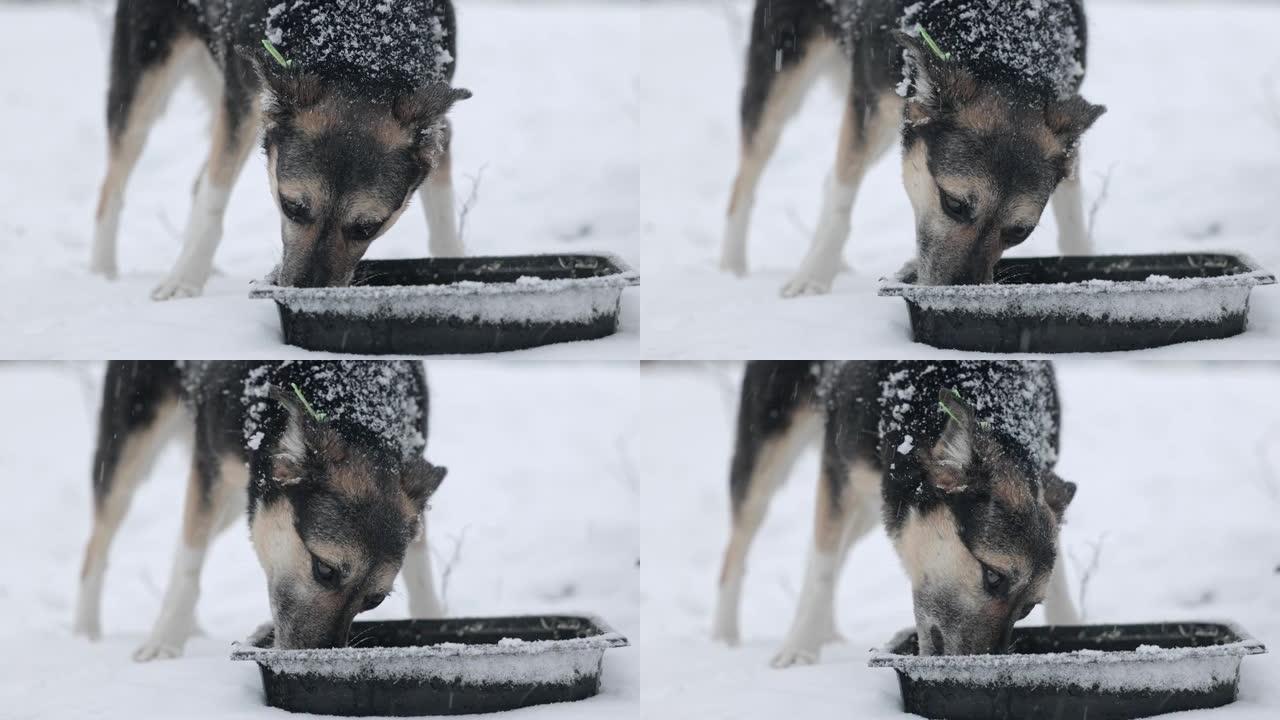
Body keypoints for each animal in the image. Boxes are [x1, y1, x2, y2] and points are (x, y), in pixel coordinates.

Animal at [72, 361, 450, 661]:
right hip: (132, 442)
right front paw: (164, 642)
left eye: (375, 600)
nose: (321, 656)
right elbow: (189, 562)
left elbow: (421, 576)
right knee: (97, 545)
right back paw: (85, 634)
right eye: (325, 570)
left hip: (238, 502)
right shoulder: (209, 468)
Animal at [91, 0, 471, 295]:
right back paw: (102, 274)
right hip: (145, 77)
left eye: (367, 227)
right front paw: (183, 280)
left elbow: (442, 221)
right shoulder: (242, 104)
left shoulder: (438, 128)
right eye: (292, 207)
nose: (305, 291)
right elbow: (214, 198)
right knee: (113, 187)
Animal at [711, 361, 1080, 666]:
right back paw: (724, 638)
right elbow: (822, 569)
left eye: (1029, 607)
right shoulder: (837, 472)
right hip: (768, 453)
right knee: (737, 551)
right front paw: (799, 650)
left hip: (870, 506)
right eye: (993, 576)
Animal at [727, 0, 1105, 294]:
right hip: (783, 70)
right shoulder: (867, 106)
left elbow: (1072, 215)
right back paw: (733, 271)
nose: (961, 290)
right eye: (954, 204)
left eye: (1019, 232)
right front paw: (813, 276)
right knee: (745, 182)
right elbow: (842, 197)